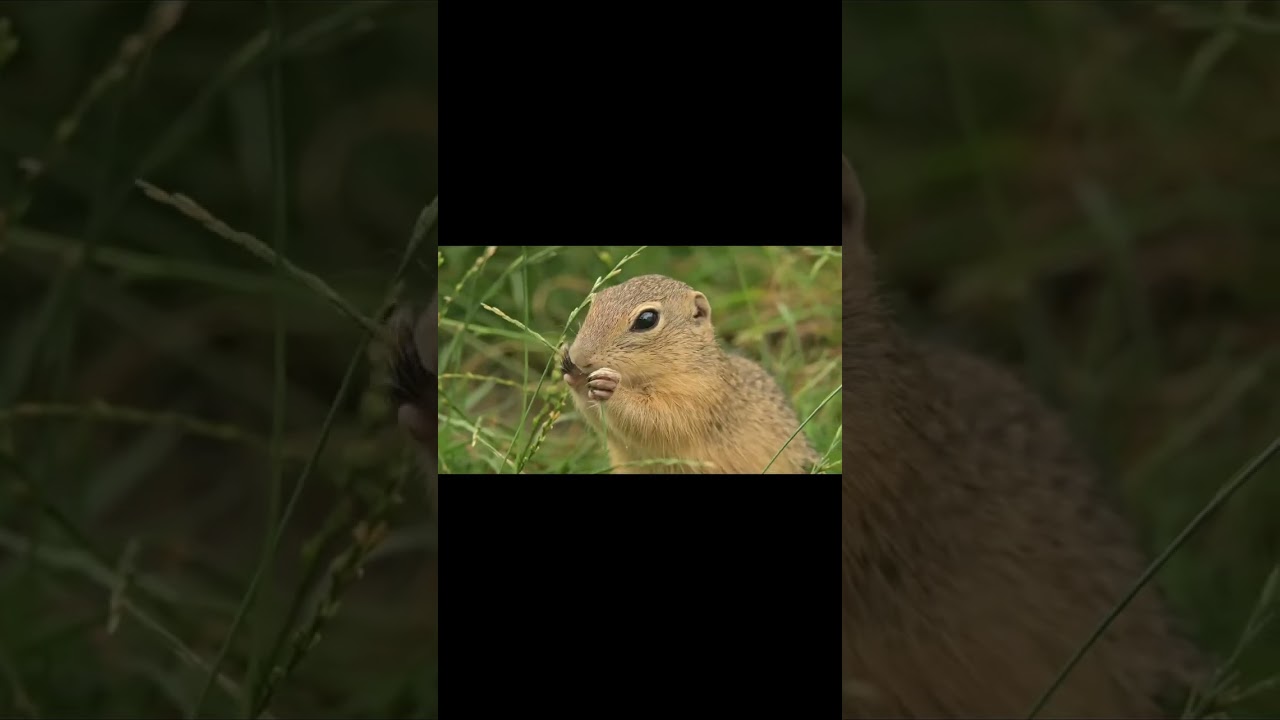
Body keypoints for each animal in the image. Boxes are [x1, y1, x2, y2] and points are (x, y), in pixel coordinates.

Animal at [561, 274, 820, 474]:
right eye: (594, 304)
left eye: (647, 319)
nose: (579, 357)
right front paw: (572, 372)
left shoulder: (700, 396)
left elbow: (658, 419)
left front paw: (612, 388)